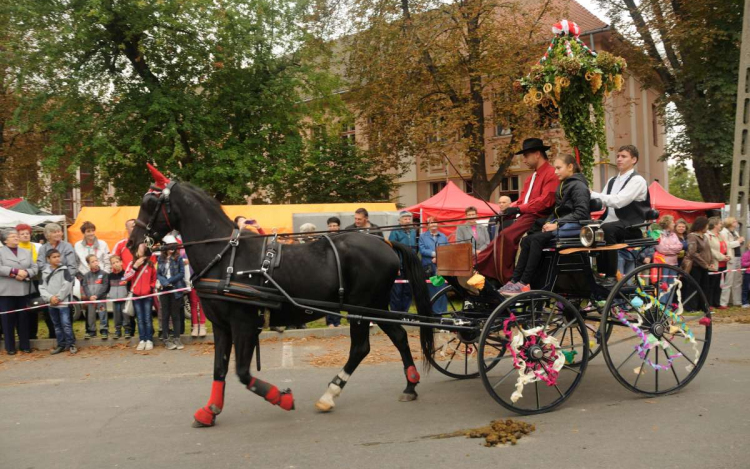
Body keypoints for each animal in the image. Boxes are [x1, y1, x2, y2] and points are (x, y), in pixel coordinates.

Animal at [129, 166, 434, 426]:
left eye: (150, 203)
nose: (133, 244)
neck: (226, 257)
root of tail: (385, 242)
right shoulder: (222, 325)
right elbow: (219, 369)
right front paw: (210, 410)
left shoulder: (243, 323)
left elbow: (242, 372)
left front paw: (282, 398)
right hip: (374, 306)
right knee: (398, 336)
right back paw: (410, 384)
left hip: (360, 308)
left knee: (361, 348)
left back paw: (330, 394)